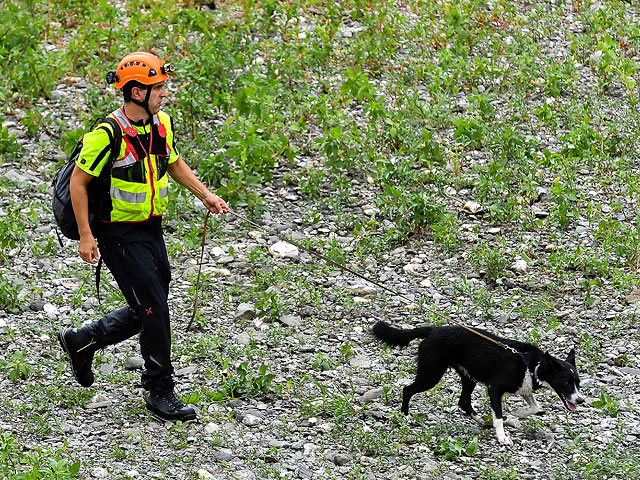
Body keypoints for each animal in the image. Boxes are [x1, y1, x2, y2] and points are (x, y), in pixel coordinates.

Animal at [370, 320, 584, 444]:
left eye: (578, 382)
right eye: (566, 382)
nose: (581, 400)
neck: (533, 365)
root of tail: (432, 330)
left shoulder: (523, 389)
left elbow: (535, 406)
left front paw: (517, 412)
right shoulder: (495, 388)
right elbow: (498, 416)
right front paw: (502, 437)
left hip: (468, 377)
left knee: (463, 401)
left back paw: (480, 420)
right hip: (431, 374)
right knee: (407, 389)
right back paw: (405, 416)